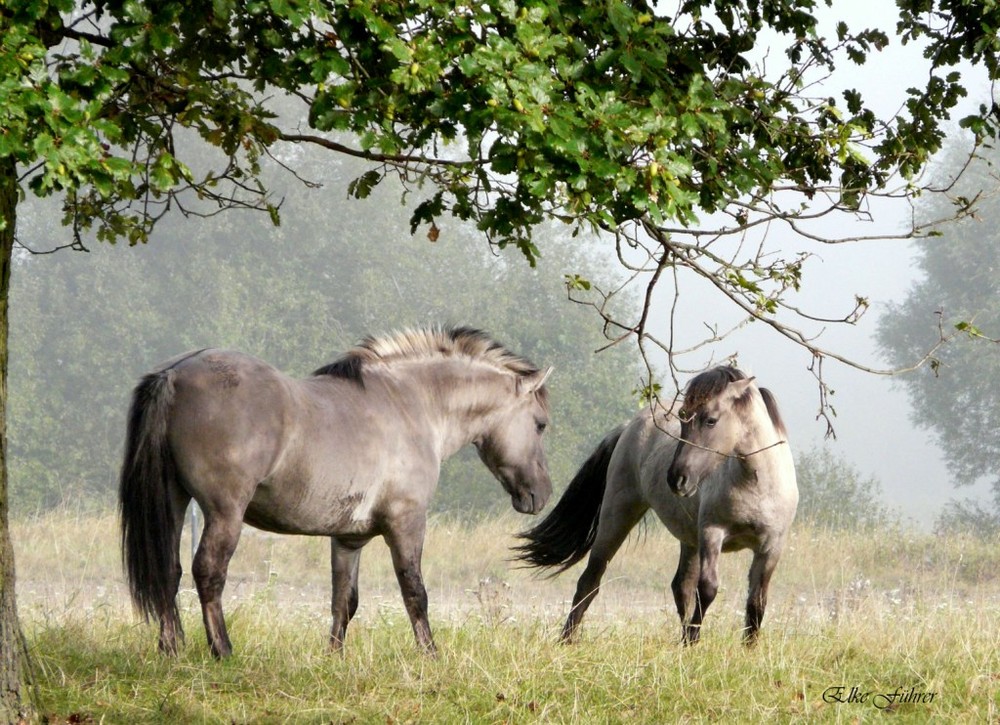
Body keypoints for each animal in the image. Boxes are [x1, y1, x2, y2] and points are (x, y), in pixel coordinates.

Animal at [120, 326, 556, 656]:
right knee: (208, 572)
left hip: (174, 501)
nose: (541, 494)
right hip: (224, 513)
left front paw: (334, 656)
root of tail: (175, 374)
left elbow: (344, 601)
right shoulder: (407, 523)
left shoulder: (348, 538)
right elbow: (415, 592)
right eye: (540, 424)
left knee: (169, 571)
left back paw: (171, 648)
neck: (412, 405)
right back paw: (222, 650)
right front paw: (431, 654)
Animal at [516, 368, 796, 644]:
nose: (677, 478)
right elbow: (708, 589)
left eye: (711, 420)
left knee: (681, 586)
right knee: (589, 581)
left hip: (689, 539)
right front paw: (694, 641)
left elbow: (756, 602)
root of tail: (629, 426)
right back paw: (567, 639)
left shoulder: (771, 547)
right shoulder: (712, 533)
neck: (756, 484)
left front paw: (748, 648)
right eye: (682, 417)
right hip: (618, 515)